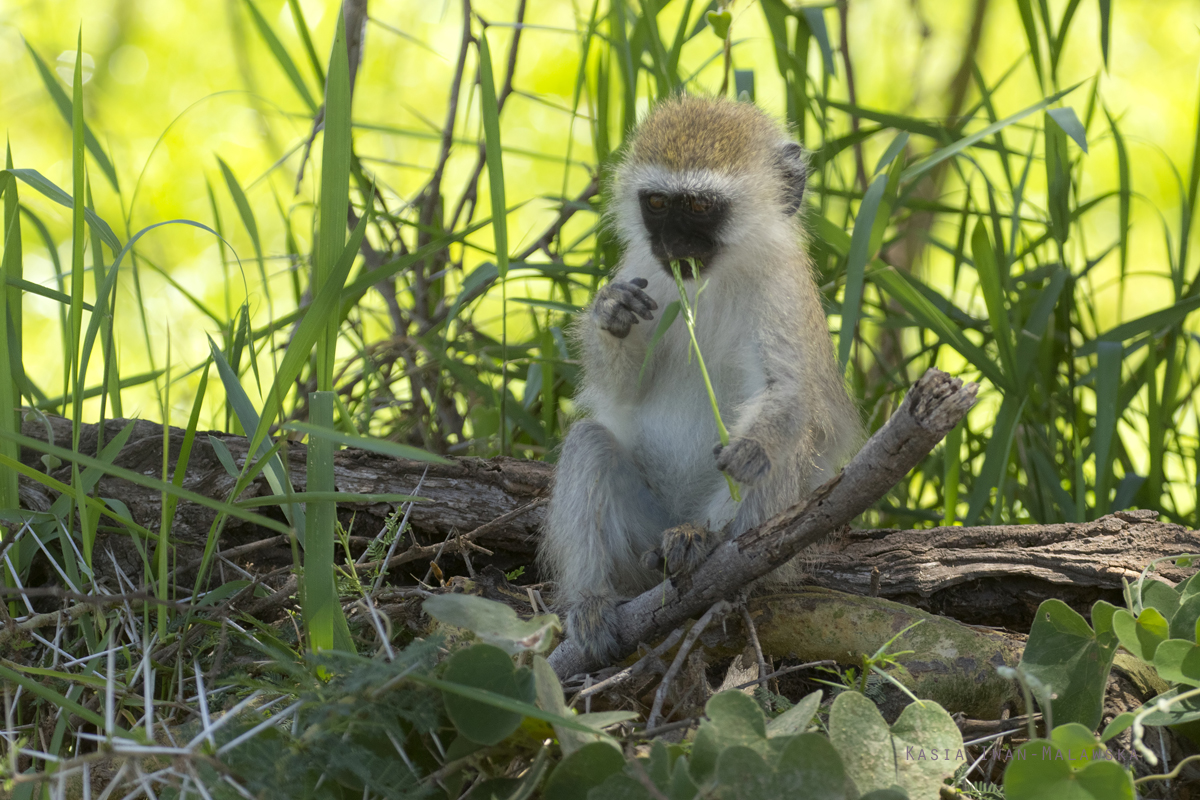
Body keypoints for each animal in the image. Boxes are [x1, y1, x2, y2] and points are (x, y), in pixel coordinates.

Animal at [542, 95, 864, 662]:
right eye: (656, 203)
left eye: (697, 207)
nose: (673, 245)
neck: (712, 282)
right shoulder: (644, 273)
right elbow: (622, 392)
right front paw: (611, 311)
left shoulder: (783, 289)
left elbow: (788, 392)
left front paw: (748, 450)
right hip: (640, 537)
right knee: (589, 443)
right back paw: (592, 602)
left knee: (786, 447)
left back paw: (704, 542)